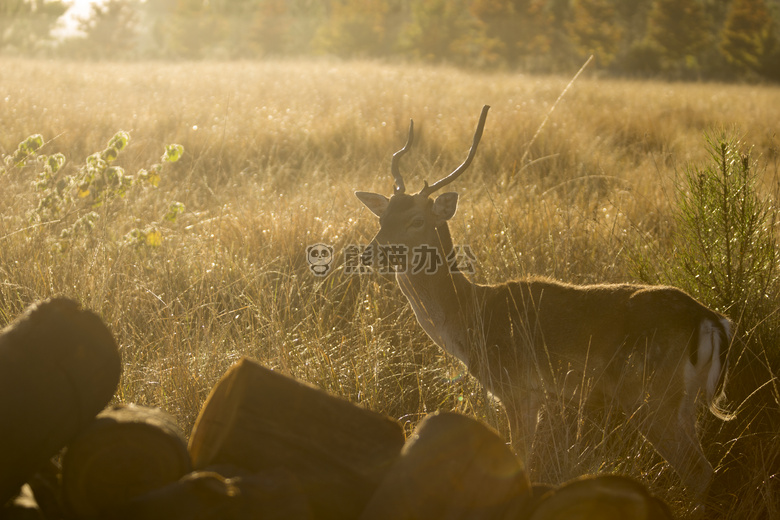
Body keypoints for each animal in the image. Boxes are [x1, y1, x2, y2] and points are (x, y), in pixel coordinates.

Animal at [356, 103, 736, 498]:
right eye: (383, 217)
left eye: (416, 220)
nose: (369, 254)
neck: (470, 317)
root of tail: (712, 320)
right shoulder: (536, 393)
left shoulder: (516, 387)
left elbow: (519, 456)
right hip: (683, 403)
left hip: (652, 396)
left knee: (698, 470)